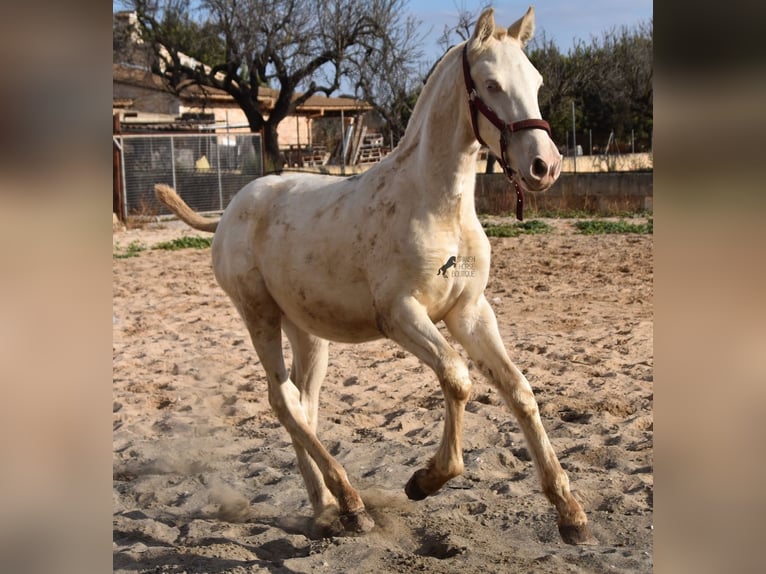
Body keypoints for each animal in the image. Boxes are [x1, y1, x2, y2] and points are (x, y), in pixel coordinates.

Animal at [156, 6, 596, 548]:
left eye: (535, 82)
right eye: (491, 84)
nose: (544, 166)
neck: (438, 207)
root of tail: (228, 212)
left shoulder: (470, 312)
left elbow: (519, 391)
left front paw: (570, 513)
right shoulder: (401, 315)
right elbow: (457, 379)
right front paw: (425, 481)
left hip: (307, 330)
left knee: (304, 405)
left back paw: (327, 510)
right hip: (257, 314)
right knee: (283, 401)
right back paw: (350, 504)